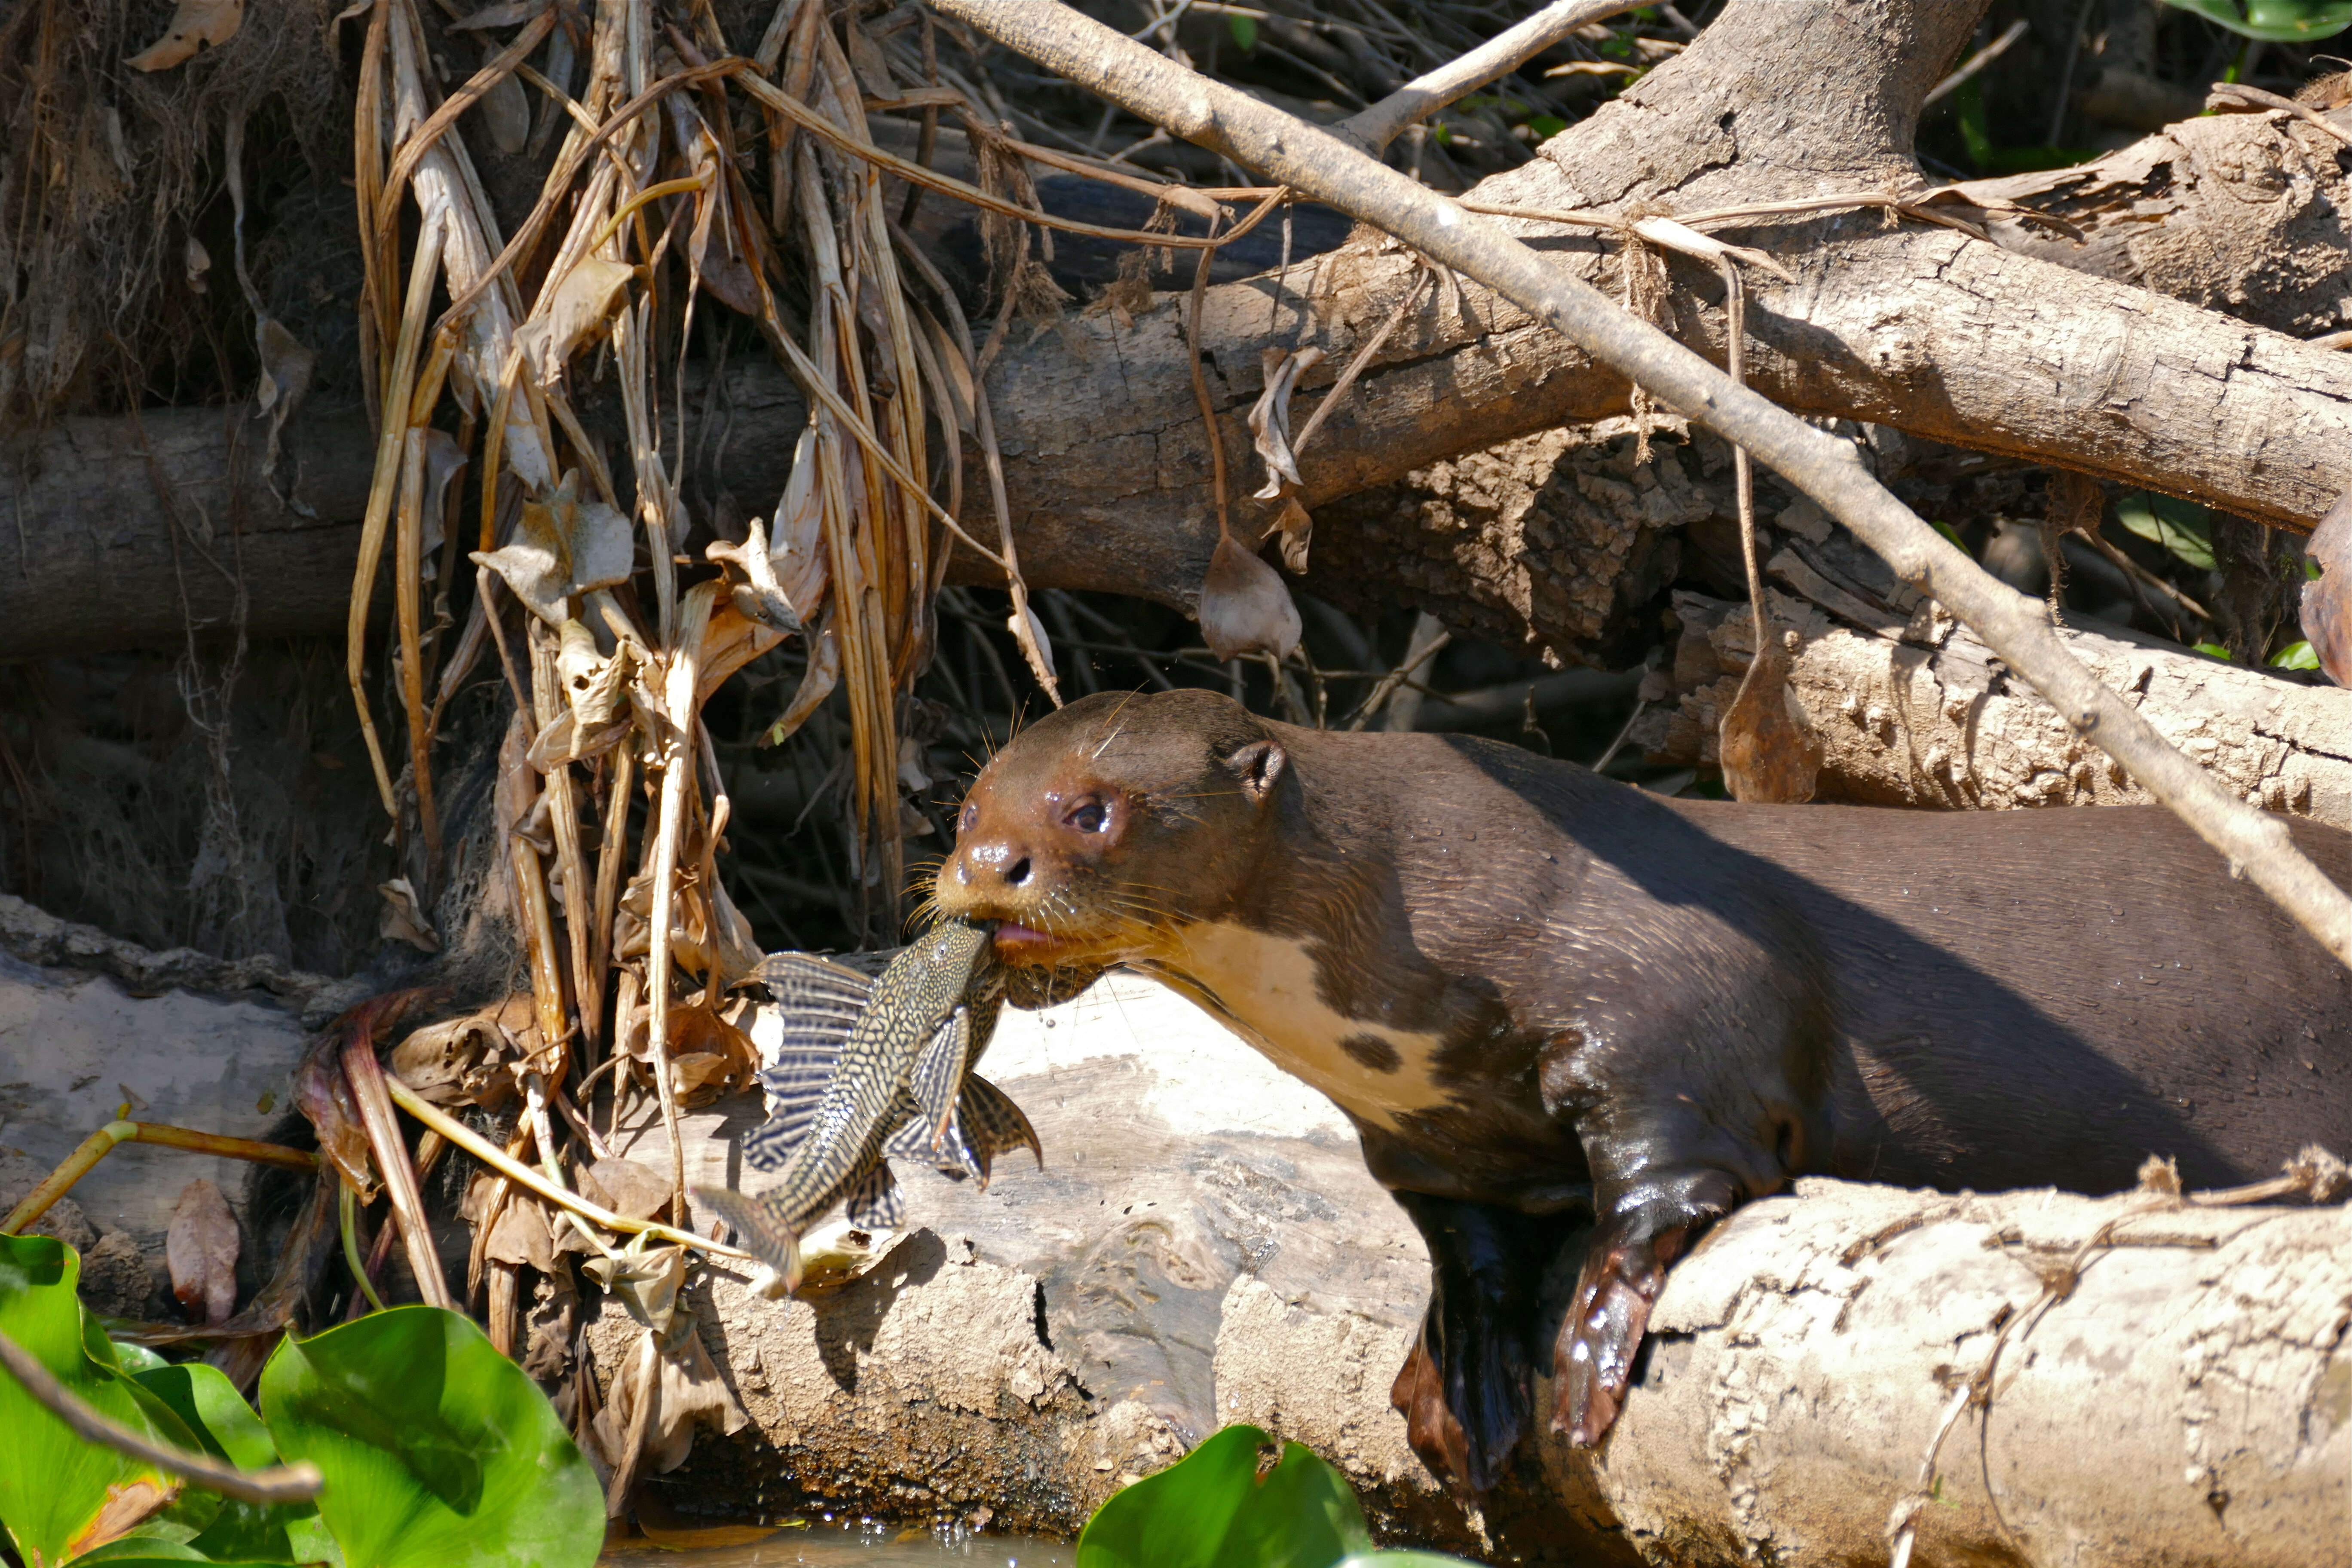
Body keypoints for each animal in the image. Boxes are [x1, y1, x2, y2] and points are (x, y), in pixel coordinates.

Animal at [922, 691, 2352, 1495]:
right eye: (970, 805)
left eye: (1092, 809)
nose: (988, 870)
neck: (1430, 916)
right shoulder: (1433, 1136)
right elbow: (1466, 1241)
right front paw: (1462, 1374)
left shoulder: (1668, 1003)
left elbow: (1676, 1179)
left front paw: (1591, 1354)